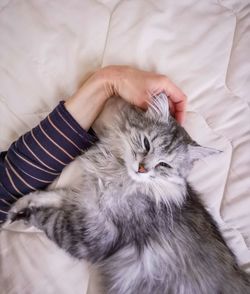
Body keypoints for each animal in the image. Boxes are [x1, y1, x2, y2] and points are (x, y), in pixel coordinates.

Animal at [6, 93, 250, 294]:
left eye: (164, 165)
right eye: (146, 144)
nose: (142, 168)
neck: (116, 176)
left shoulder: (95, 237)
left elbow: (49, 218)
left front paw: (19, 215)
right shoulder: (86, 200)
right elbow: (55, 195)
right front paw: (21, 203)